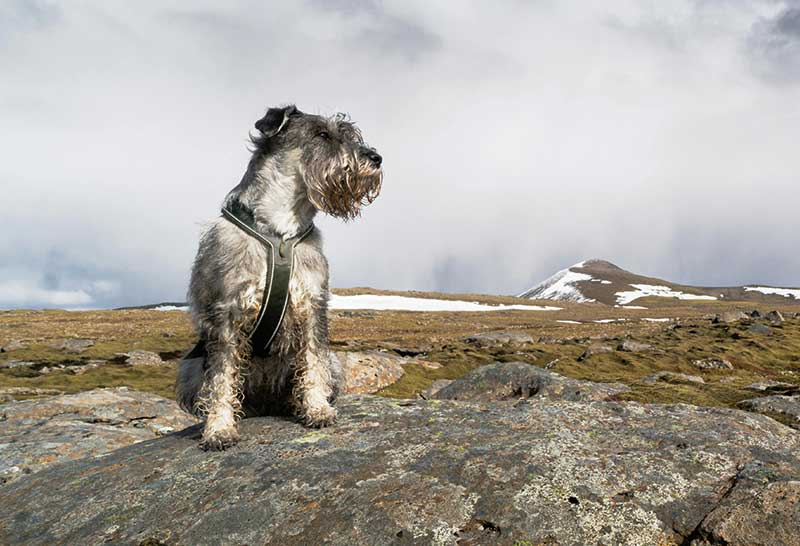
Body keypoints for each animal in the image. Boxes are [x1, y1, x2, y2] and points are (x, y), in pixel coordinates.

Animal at [178, 104, 384, 448]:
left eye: (351, 134)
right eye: (322, 134)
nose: (376, 158)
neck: (280, 229)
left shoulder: (313, 304)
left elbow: (312, 362)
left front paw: (317, 409)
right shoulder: (226, 311)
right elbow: (221, 377)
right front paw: (219, 428)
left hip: (335, 362)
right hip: (190, 367)